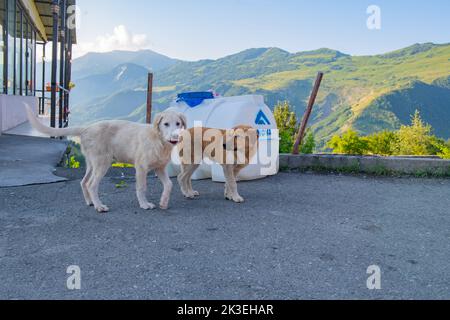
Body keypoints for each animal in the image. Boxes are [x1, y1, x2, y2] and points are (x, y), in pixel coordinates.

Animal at [26, 105, 185, 214]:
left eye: (178, 123)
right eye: (166, 124)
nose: (176, 136)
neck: (159, 141)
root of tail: (86, 128)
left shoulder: (160, 168)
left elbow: (169, 184)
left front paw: (163, 202)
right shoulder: (141, 168)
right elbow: (141, 187)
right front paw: (144, 204)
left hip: (92, 164)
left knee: (84, 182)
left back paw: (90, 202)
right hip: (103, 163)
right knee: (91, 185)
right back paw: (99, 206)